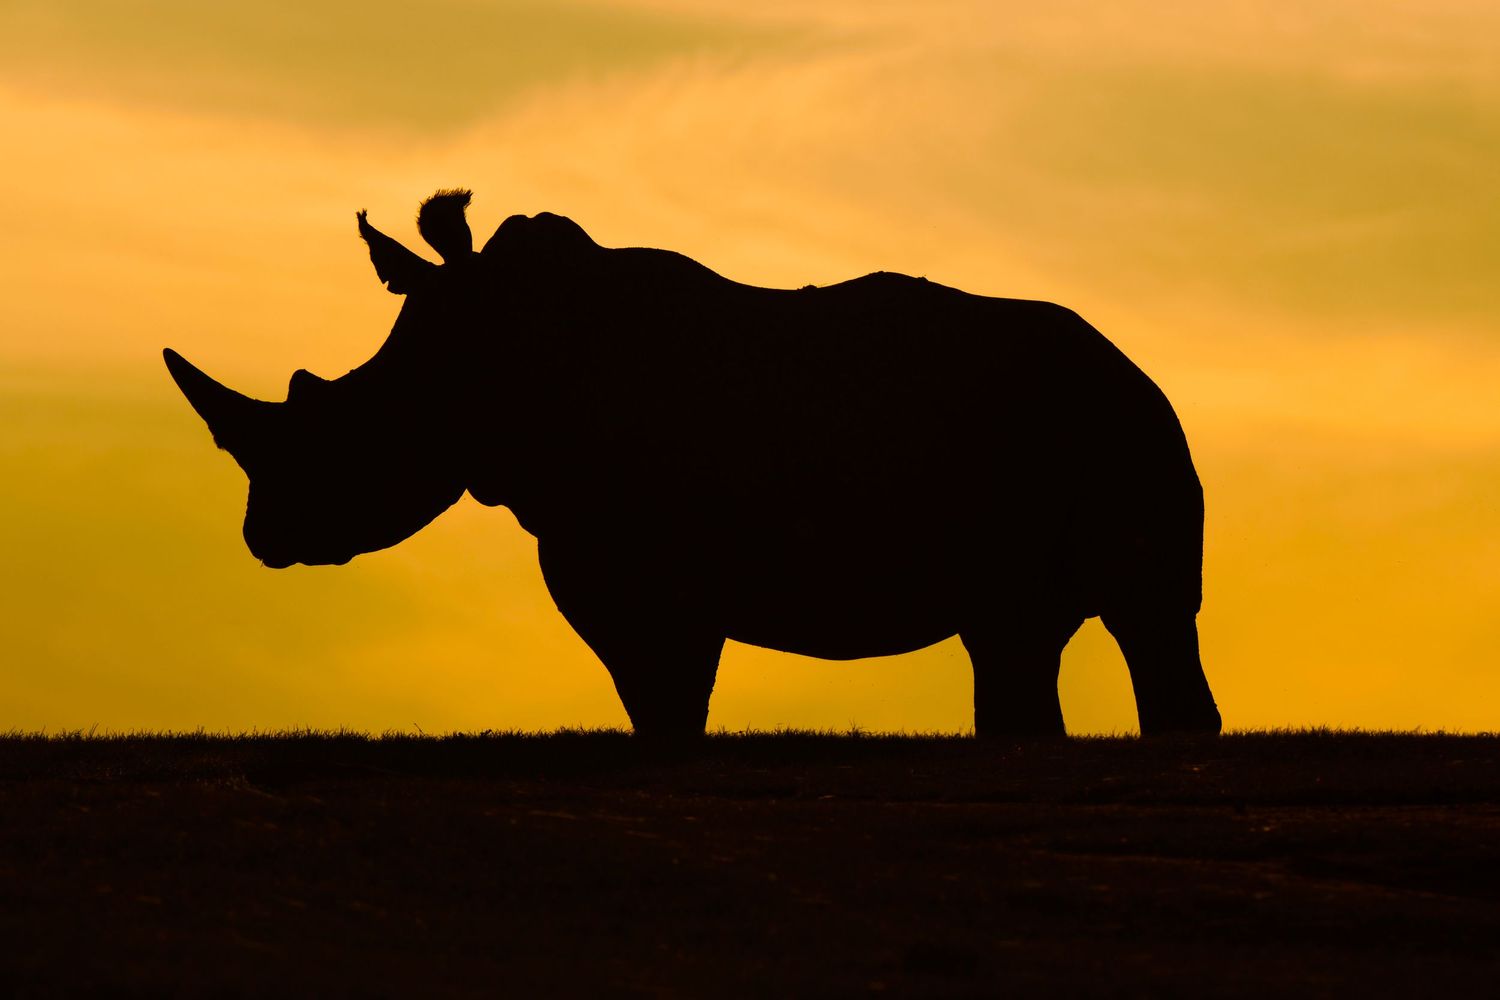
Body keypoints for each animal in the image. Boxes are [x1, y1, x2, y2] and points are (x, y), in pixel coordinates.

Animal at [164, 189, 1221, 739]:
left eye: (354, 434)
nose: (265, 538)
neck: (479, 361)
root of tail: (1137, 367)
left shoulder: (666, 571)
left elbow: (673, 699)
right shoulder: (591, 555)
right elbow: (651, 703)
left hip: (1123, 429)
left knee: (1146, 617)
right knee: (1012, 635)